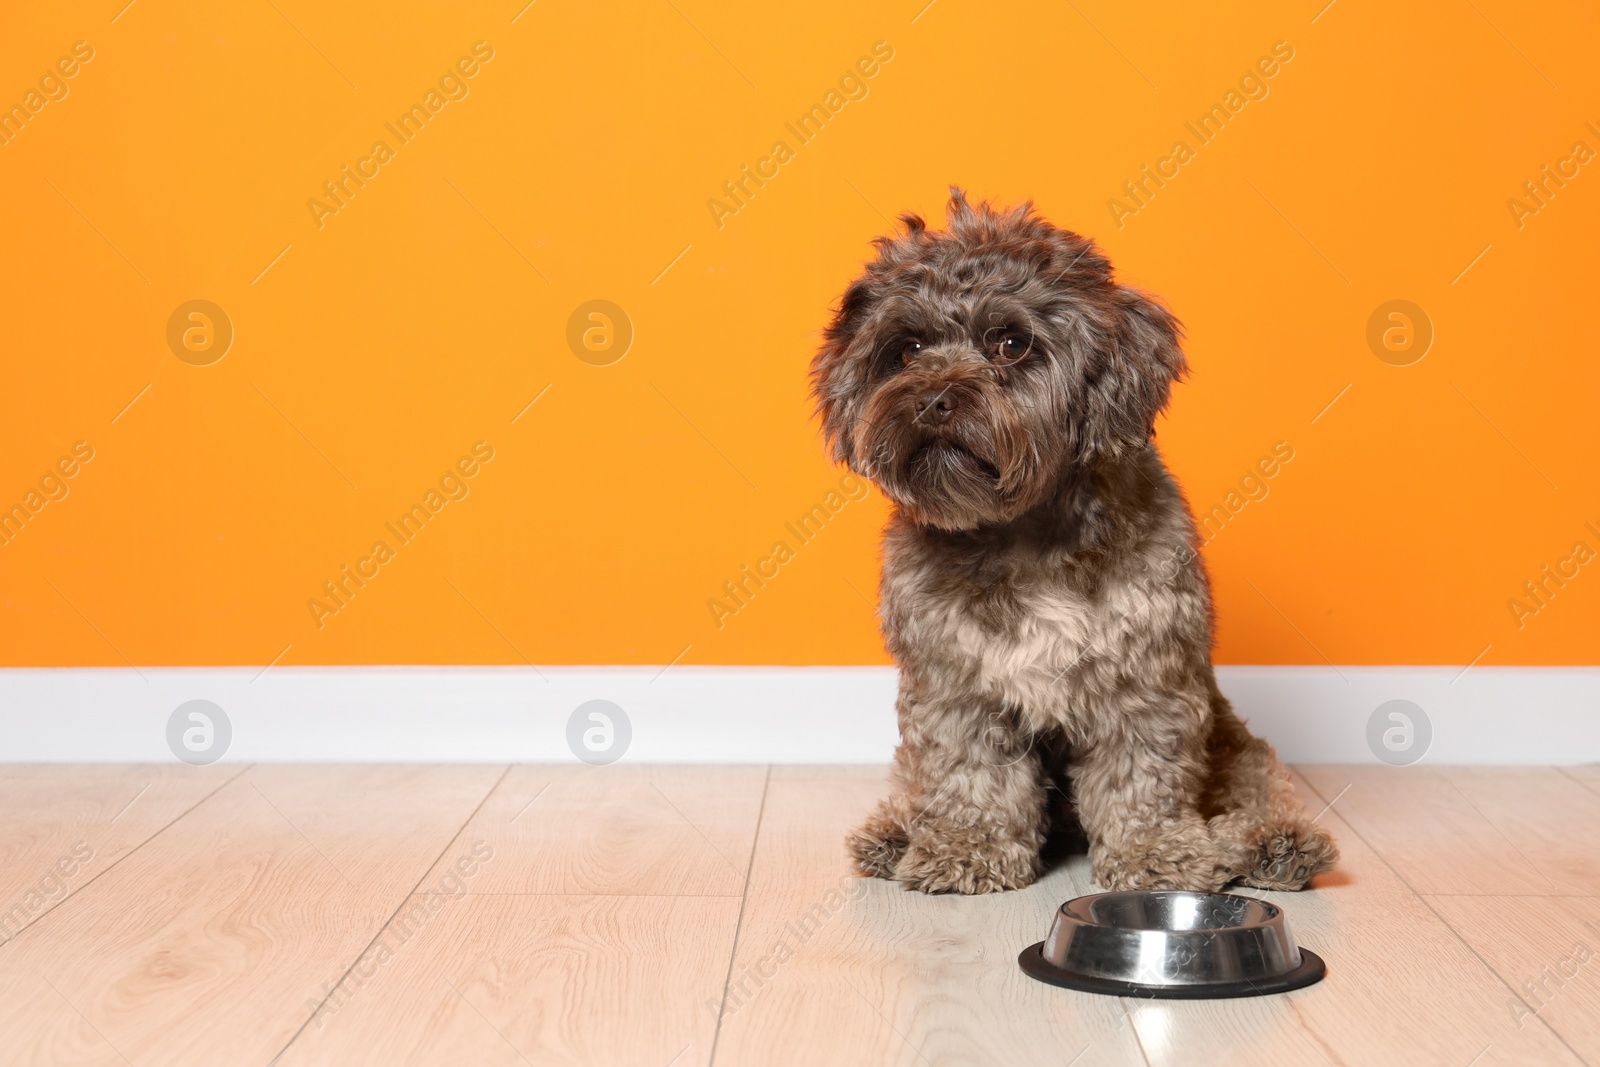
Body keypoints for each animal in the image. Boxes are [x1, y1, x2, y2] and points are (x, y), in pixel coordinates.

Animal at [812, 189, 1337, 895]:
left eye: (1011, 343)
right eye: (908, 347)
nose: (932, 399)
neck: (1023, 531)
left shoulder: (1143, 676)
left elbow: (1142, 775)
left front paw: (1154, 854)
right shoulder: (954, 683)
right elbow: (967, 773)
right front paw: (968, 847)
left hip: (1229, 734)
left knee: (1256, 782)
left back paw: (1276, 843)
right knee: (914, 779)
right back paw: (896, 829)